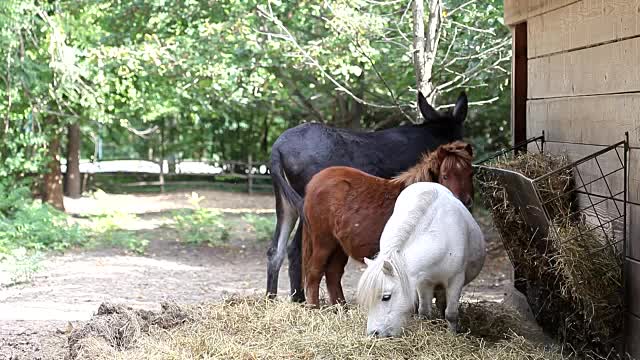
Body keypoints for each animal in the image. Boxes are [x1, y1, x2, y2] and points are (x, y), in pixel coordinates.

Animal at [302, 141, 472, 306]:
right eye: (445, 176)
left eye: (470, 174)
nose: (463, 202)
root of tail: (313, 182)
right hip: (324, 242)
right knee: (314, 273)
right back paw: (314, 308)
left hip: (339, 246)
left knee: (333, 274)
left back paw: (341, 309)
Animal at [356, 183, 484, 338]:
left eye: (386, 297)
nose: (373, 333)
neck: (438, 239)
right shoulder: (424, 282)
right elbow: (424, 312)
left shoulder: (456, 280)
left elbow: (451, 313)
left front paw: (452, 335)